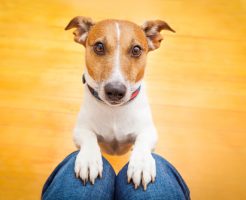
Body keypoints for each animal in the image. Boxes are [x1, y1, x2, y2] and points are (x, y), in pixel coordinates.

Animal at [64, 16, 174, 190]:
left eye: (136, 49)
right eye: (99, 47)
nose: (115, 91)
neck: (114, 111)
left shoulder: (149, 131)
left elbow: (143, 141)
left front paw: (142, 164)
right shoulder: (80, 130)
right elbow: (88, 137)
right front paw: (89, 159)